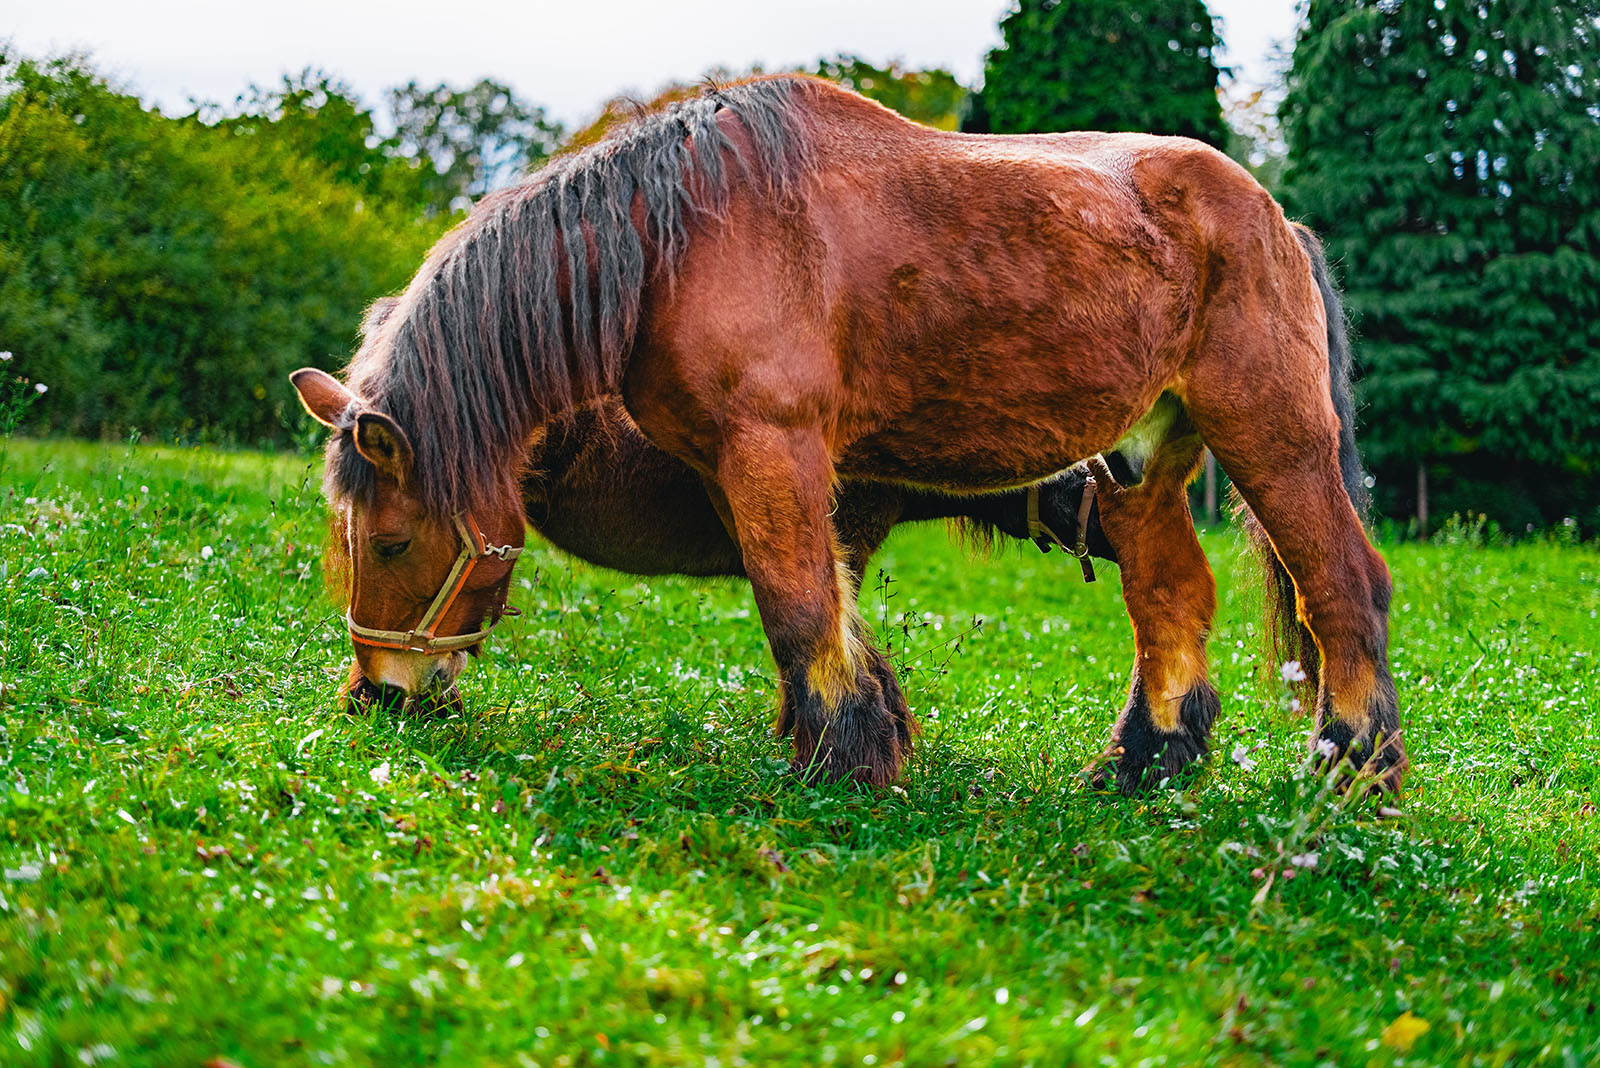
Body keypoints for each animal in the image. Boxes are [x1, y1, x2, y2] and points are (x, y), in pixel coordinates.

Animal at [288, 75, 1401, 793]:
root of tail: (1274, 216)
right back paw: (1146, 765)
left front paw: (841, 763)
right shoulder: (754, 474)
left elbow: (796, 611)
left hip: (1271, 433)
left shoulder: (772, 451)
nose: (378, 695)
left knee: (1343, 582)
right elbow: (820, 604)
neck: (674, 243)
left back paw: (1353, 768)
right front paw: (857, 736)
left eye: (392, 540)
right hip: (1140, 468)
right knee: (1170, 596)